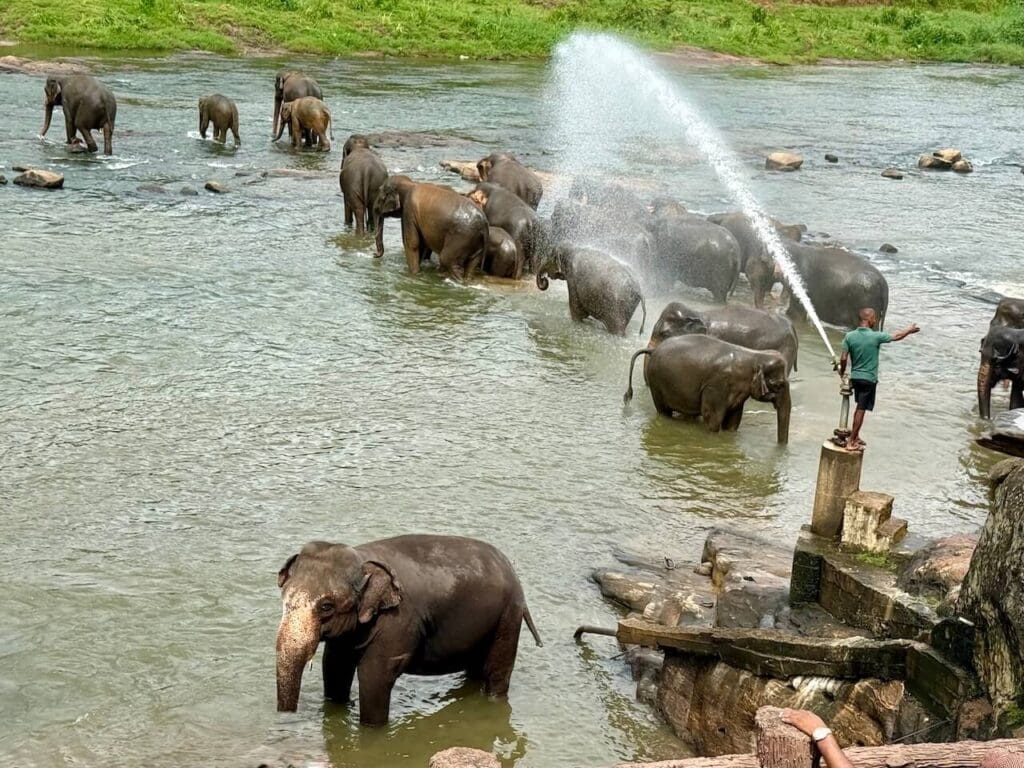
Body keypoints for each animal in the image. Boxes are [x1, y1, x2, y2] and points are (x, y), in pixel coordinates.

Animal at [275, 535, 542, 724]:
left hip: (508, 616)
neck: (363, 558)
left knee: (497, 672)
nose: (286, 720)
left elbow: (374, 676)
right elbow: (334, 667)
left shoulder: (397, 623)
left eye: (326, 607)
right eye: (284, 599)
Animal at [624, 334, 791, 444]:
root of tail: (653, 350)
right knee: (663, 411)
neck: (753, 355)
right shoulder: (716, 385)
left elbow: (733, 421)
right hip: (657, 382)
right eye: (778, 385)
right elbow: (712, 417)